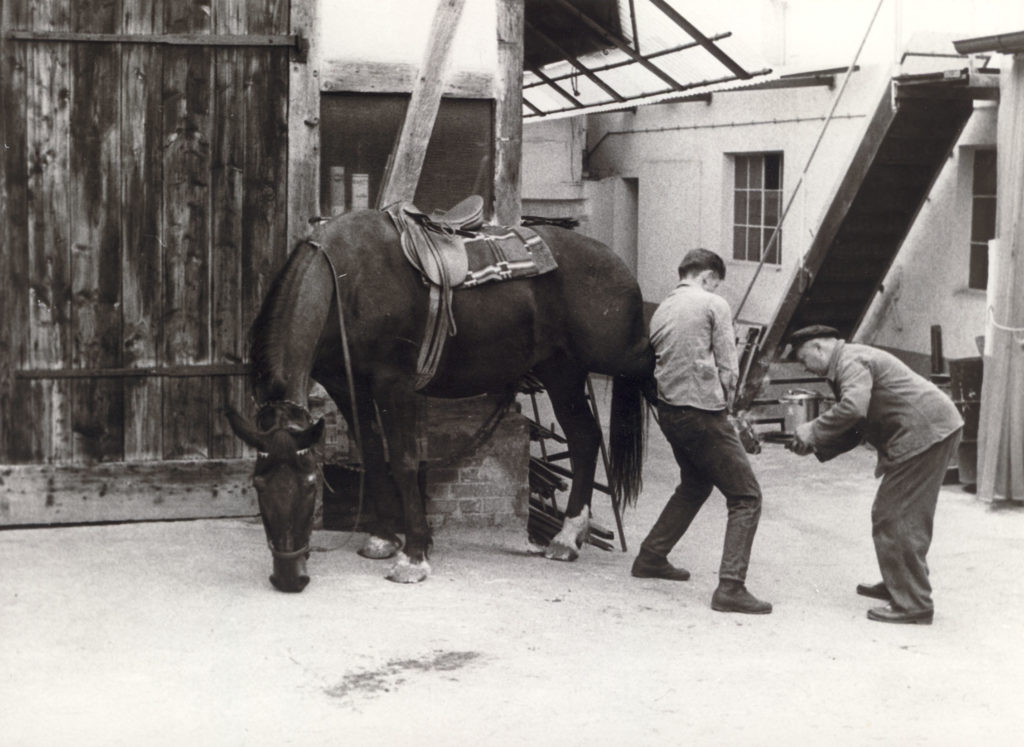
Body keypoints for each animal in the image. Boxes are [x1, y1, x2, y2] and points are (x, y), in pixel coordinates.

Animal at [227, 206, 651, 590]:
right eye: (259, 486)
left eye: (312, 484)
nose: (289, 578)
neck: (347, 283)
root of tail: (617, 263)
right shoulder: (347, 386)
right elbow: (371, 454)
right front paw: (383, 538)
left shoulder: (393, 384)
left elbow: (403, 461)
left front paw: (413, 557)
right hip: (561, 371)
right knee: (584, 438)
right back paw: (567, 538)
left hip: (617, 359)